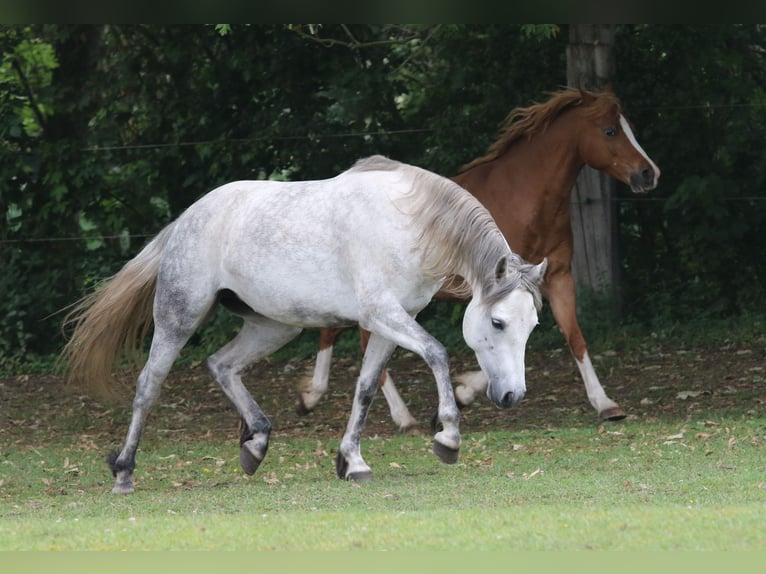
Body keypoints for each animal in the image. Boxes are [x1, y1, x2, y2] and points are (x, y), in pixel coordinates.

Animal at [296, 89, 664, 432]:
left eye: (629, 127)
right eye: (610, 131)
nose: (649, 173)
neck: (525, 200)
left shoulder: (558, 278)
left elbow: (575, 337)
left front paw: (605, 404)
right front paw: (462, 394)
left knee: (337, 332)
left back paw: (313, 397)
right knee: (355, 339)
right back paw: (399, 416)